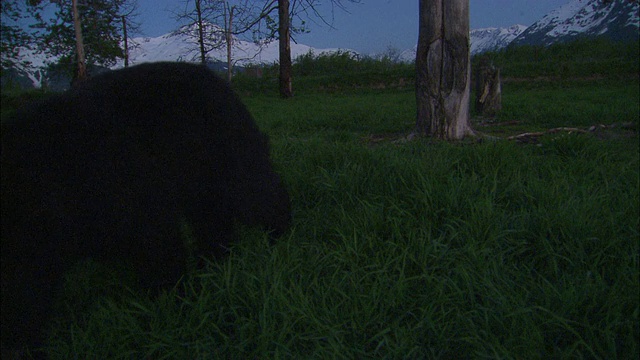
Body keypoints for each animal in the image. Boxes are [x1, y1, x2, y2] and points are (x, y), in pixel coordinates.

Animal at [1, 61, 292, 354]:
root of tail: (220, 82)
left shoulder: (122, 187)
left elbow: (158, 244)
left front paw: (172, 303)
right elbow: (28, 288)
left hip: (222, 148)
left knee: (252, 192)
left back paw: (277, 234)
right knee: (212, 216)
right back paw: (213, 259)